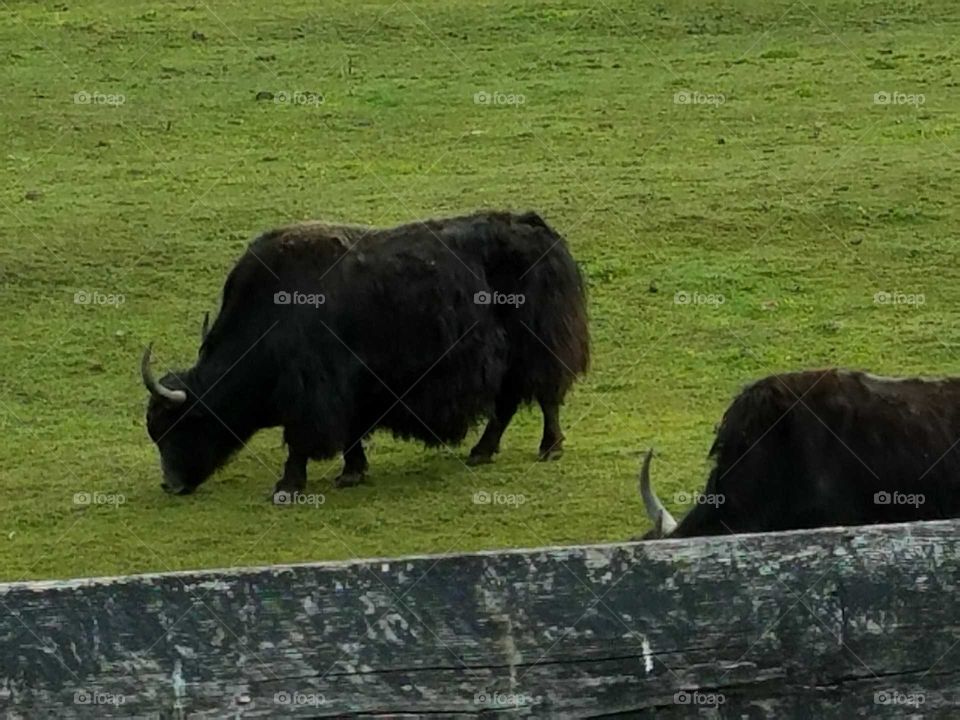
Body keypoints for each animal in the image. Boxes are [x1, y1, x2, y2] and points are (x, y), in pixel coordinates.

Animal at [140, 210, 589, 500]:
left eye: (178, 424)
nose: (170, 485)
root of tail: (537, 228)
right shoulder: (353, 389)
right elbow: (352, 432)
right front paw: (352, 473)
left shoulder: (311, 393)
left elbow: (300, 440)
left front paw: (287, 485)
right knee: (507, 404)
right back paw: (481, 452)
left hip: (539, 346)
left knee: (544, 396)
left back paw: (549, 448)